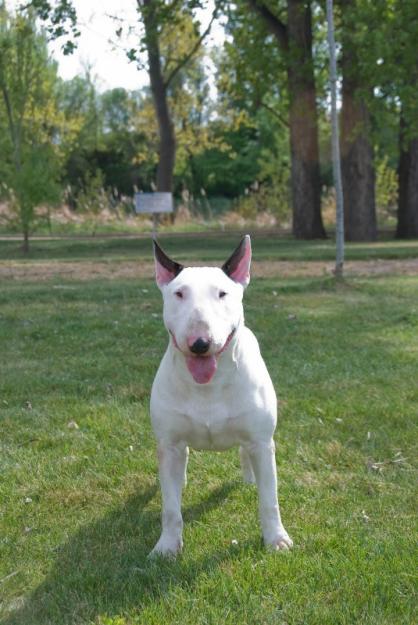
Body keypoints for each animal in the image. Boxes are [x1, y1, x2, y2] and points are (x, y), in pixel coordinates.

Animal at [151, 235, 294, 556]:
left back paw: (250, 478)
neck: (208, 386)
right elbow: (170, 508)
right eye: (179, 293)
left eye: (222, 293)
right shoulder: (169, 443)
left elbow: (270, 501)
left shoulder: (261, 441)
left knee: (245, 453)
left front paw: (276, 539)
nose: (200, 343)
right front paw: (167, 546)